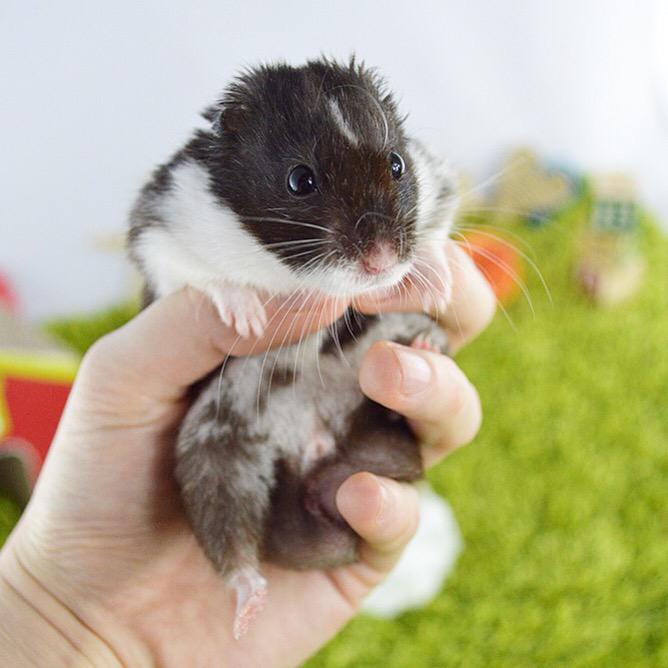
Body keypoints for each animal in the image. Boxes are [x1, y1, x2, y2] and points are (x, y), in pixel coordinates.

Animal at [128, 58, 459, 638]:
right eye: (300, 180)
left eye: (396, 164)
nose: (382, 261)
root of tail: (314, 444)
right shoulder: (160, 223)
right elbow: (196, 273)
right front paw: (248, 314)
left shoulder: (437, 181)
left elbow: (438, 231)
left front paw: (436, 283)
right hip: (213, 444)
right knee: (228, 529)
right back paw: (248, 606)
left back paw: (426, 341)